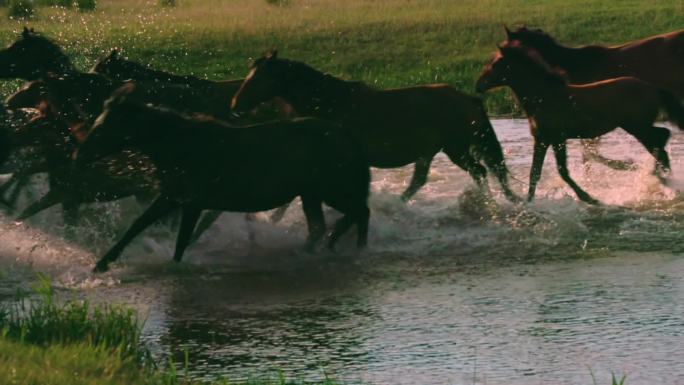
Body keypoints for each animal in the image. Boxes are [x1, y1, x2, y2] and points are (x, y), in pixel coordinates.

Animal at [77, 85, 372, 272]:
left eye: (106, 126)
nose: (78, 154)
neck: (176, 146)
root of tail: (350, 138)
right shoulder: (171, 196)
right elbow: (137, 225)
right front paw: (101, 264)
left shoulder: (192, 202)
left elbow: (182, 241)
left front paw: (175, 267)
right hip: (311, 193)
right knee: (321, 226)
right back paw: (313, 250)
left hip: (333, 189)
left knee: (360, 213)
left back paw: (353, 249)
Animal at [230, 50, 520, 204]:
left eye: (258, 78)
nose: (235, 104)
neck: (330, 103)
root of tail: (467, 98)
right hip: (438, 151)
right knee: (429, 179)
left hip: (455, 148)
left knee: (478, 171)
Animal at [476, 45, 684, 204]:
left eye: (496, 64)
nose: (478, 85)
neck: (544, 97)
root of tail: (652, 88)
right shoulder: (541, 140)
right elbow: (534, 172)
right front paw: (528, 201)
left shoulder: (558, 139)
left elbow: (563, 171)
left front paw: (589, 198)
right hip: (638, 126)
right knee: (660, 142)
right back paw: (665, 181)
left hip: (637, 126)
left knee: (661, 139)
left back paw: (659, 178)